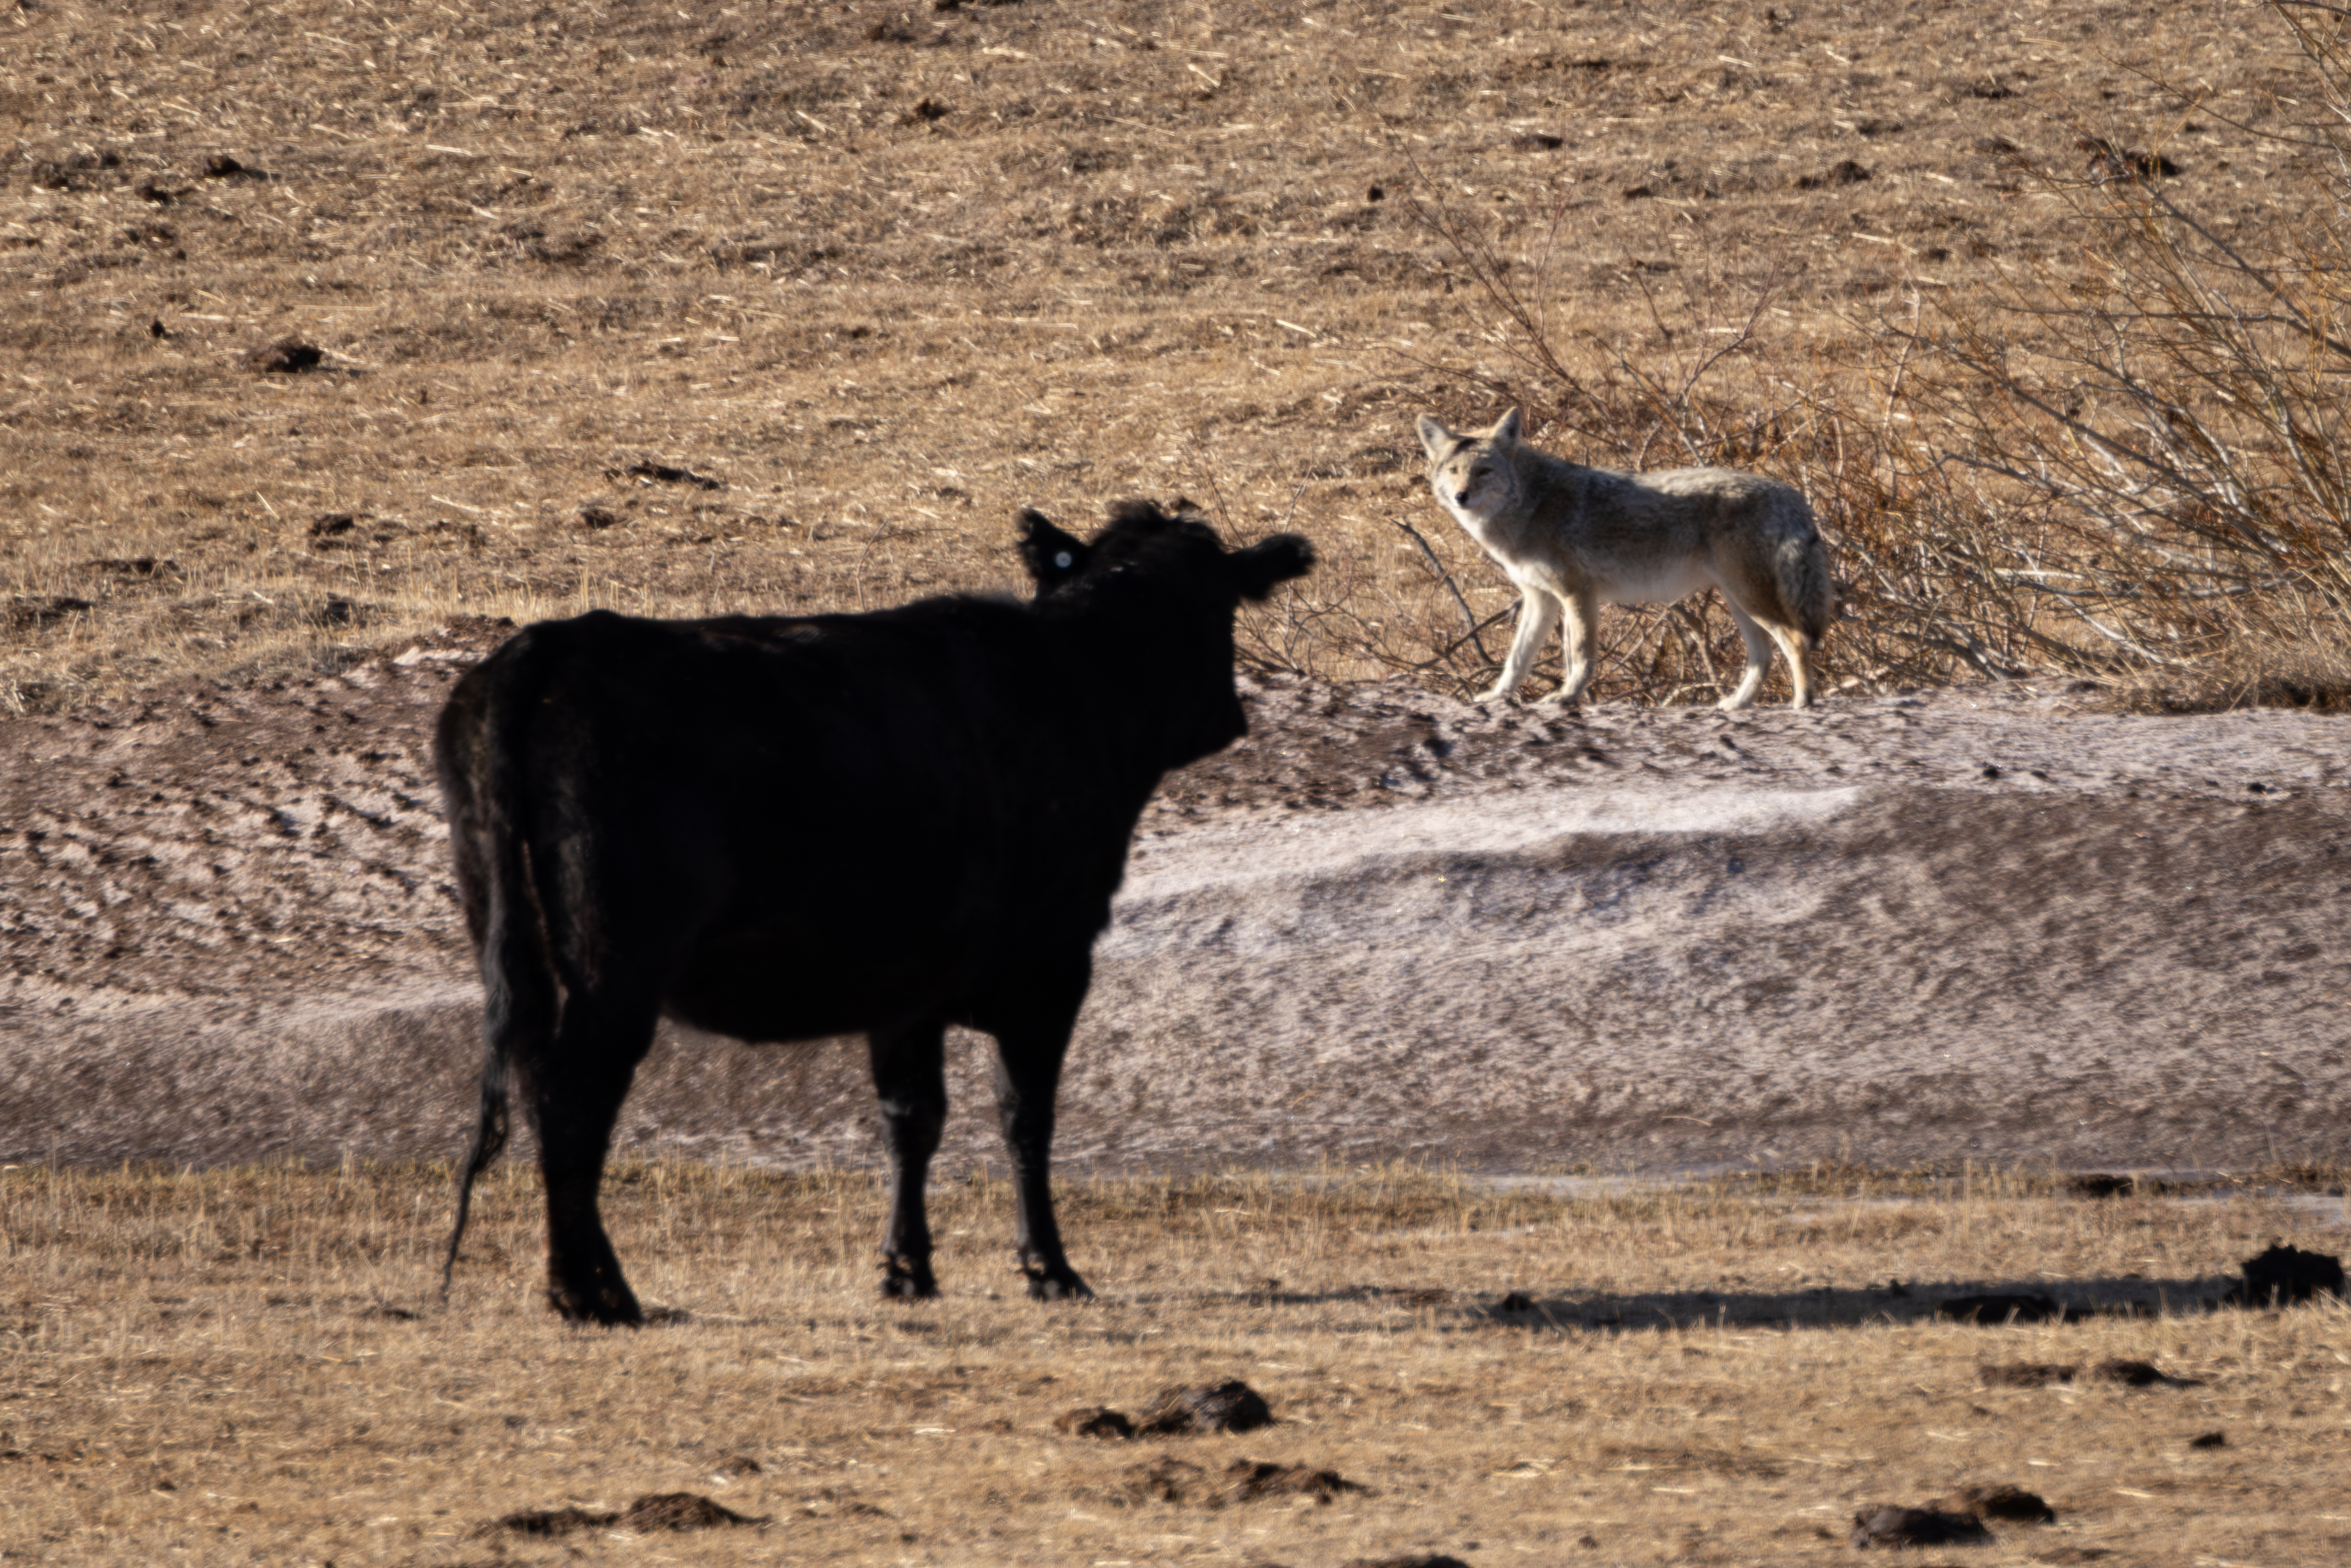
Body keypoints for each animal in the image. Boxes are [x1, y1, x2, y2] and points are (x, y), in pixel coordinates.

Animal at [433, 501, 1314, 1323]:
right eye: (1221, 603)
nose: (1230, 716)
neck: (1074, 681)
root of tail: (551, 646)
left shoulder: (909, 986)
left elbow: (910, 1118)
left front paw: (907, 1268)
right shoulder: (1052, 964)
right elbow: (1024, 1117)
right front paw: (1050, 1268)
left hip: (523, 946)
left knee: (543, 1087)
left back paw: (600, 1285)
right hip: (615, 965)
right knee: (573, 1102)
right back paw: (590, 1292)